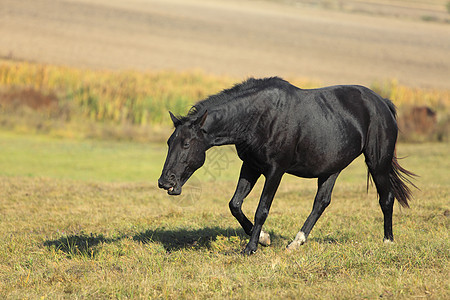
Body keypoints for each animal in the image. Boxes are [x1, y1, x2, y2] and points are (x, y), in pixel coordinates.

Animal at [158, 77, 414, 255]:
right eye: (169, 142)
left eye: (186, 144)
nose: (165, 181)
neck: (259, 116)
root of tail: (383, 103)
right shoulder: (251, 166)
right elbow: (235, 204)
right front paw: (263, 238)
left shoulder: (275, 171)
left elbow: (262, 208)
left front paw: (251, 247)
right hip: (331, 169)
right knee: (321, 203)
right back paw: (296, 242)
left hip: (377, 162)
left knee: (386, 198)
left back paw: (388, 241)